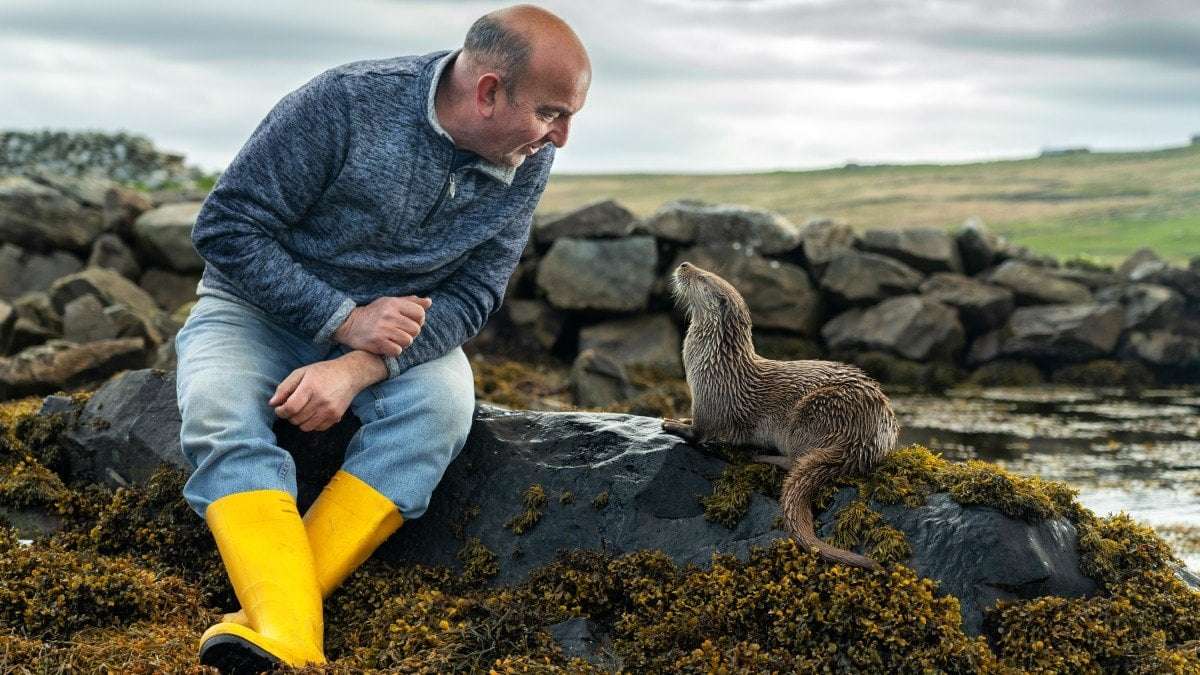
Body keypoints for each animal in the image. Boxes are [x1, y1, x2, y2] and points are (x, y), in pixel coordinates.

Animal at [662, 261, 898, 571]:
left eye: (703, 277)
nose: (684, 265)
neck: (715, 362)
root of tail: (867, 439)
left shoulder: (709, 400)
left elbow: (700, 432)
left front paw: (673, 424)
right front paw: (678, 418)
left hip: (811, 414)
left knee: (796, 459)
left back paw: (762, 456)